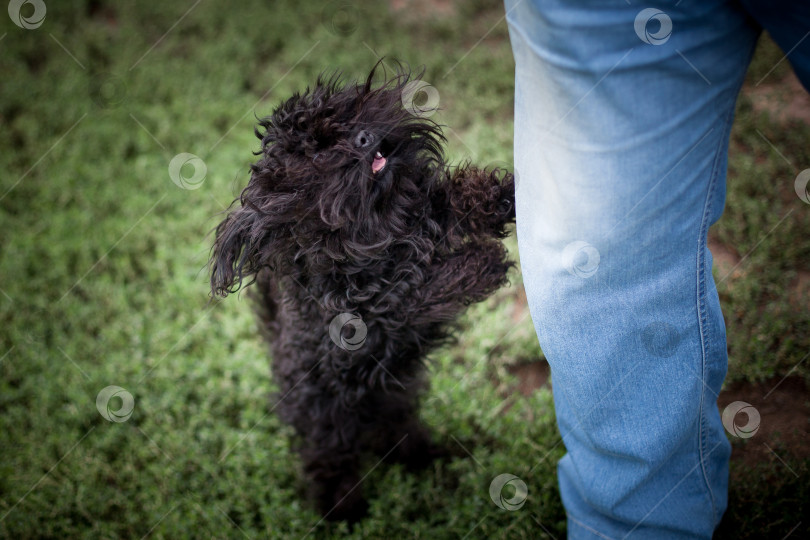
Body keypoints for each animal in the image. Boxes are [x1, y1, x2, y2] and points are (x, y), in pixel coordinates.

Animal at [208, 65, 512, 520]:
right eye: (317, 156)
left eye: (344, 119)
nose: (364, 139)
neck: (379, 222)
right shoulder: (369, 317)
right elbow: (416, 291)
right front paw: (485, 261)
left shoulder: (425, 215)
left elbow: (455, 197)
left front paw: (504, 197)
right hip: (329, 423)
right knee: (328, 461)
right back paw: (342, 510)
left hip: (394, 404)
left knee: (397, 436)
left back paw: (428, 460)